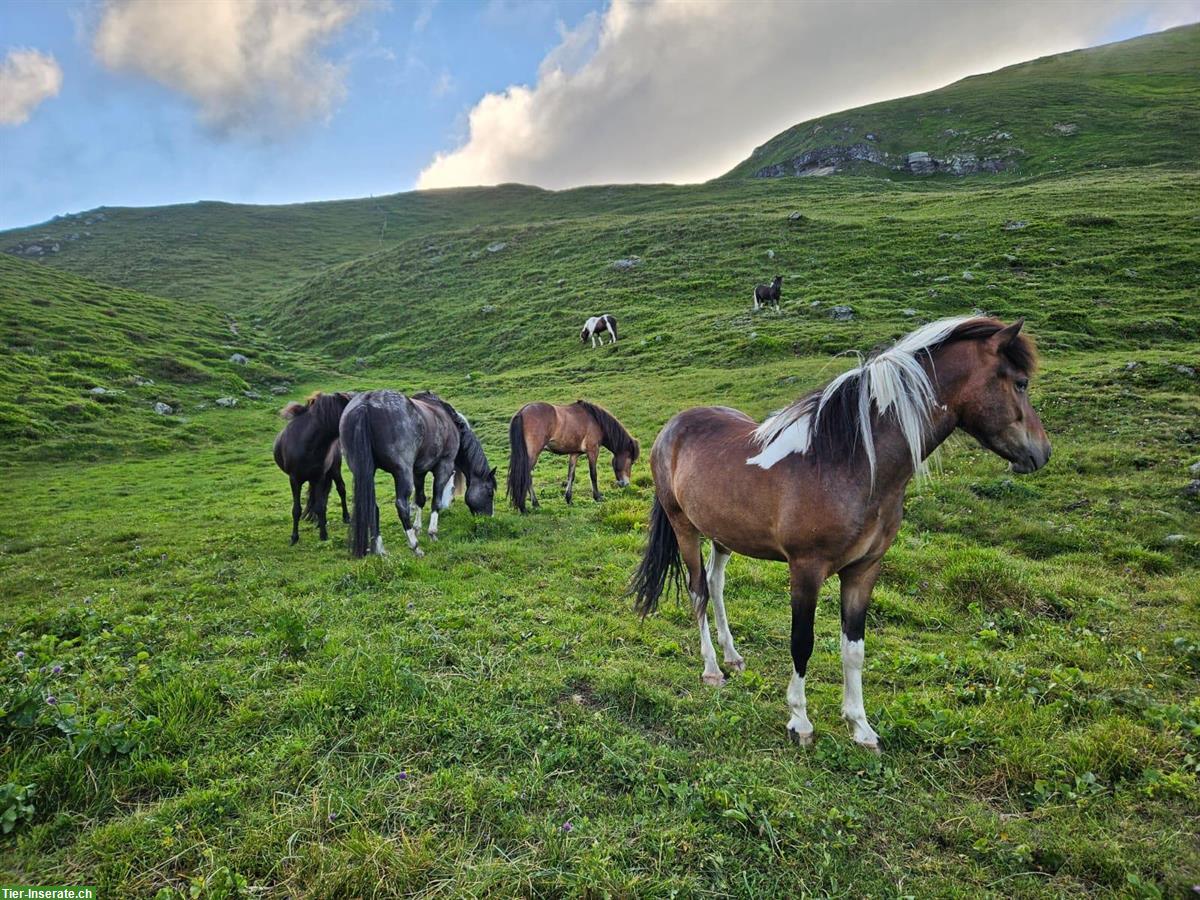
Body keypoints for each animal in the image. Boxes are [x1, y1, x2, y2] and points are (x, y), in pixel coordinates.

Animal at [270, 393, 350, 547]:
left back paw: (346, 517)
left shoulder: (319, 477)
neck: (308, 443)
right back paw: (319, 522)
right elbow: (297, 510)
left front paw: (323, 535)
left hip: (334, 470)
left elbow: (320, 505)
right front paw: (294, 538)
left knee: (340, 490)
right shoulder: (294, 479)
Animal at [343, 393, 496, 561]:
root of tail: (366, 404)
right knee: (401, 506)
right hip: (402, 473)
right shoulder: (444, 466)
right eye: (490, 493)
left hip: (366, 472)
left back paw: (380, 549)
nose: (489, 519)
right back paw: (415, 546)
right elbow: (436, 500)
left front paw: (417, 528)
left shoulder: (418, 472)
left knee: (372, 506)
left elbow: (420, 499)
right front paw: (432, 533)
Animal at [504, 400, 638, 513]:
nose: (625, 483)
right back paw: (526, 506)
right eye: (631, 461)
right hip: (533, 454)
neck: (595, 420)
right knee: (526, 476)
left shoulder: (574, 454)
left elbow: (571, 476)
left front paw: (569, 499)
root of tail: (521, 412)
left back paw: (533, 504)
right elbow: (593, 475)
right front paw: (597, 497)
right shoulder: (593, 450)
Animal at [628, 316, 1051, 753]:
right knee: (698, 590)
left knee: (716, 585)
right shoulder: (806, 569)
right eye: (1020, 383)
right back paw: (712, 669)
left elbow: (854, 649)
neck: (849, 464)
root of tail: (673, 426)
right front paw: (800, 721)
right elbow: (802, 641)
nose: (1041, 453)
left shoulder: (864, 570)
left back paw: (732, 656)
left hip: (722, 534)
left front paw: (860, 726)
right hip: (684, 527)